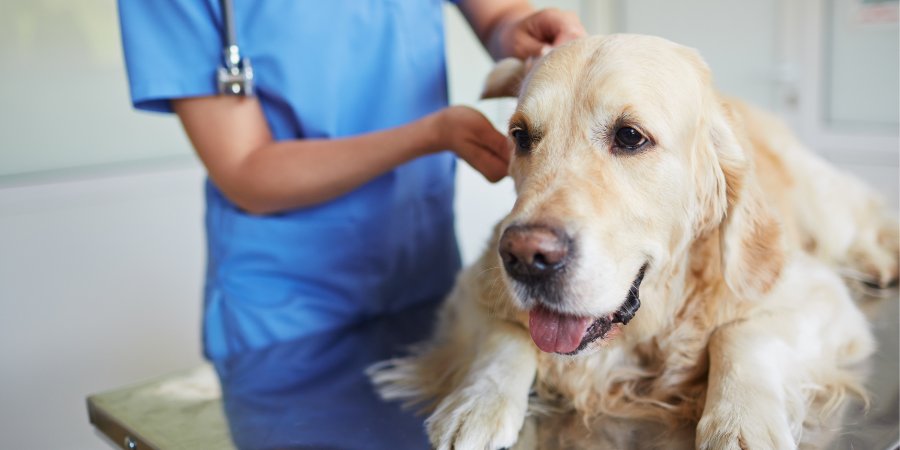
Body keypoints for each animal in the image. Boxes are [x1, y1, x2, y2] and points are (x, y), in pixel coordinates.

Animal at [368, 35, 900, 450]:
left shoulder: (815, 294)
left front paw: (740, 423)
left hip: (825, 208)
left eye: (629, 136)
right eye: (520, 136)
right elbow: (506, 337)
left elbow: (740, 335)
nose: (525, 258)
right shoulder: (471, 287)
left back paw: (881, 259)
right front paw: (477, 403)